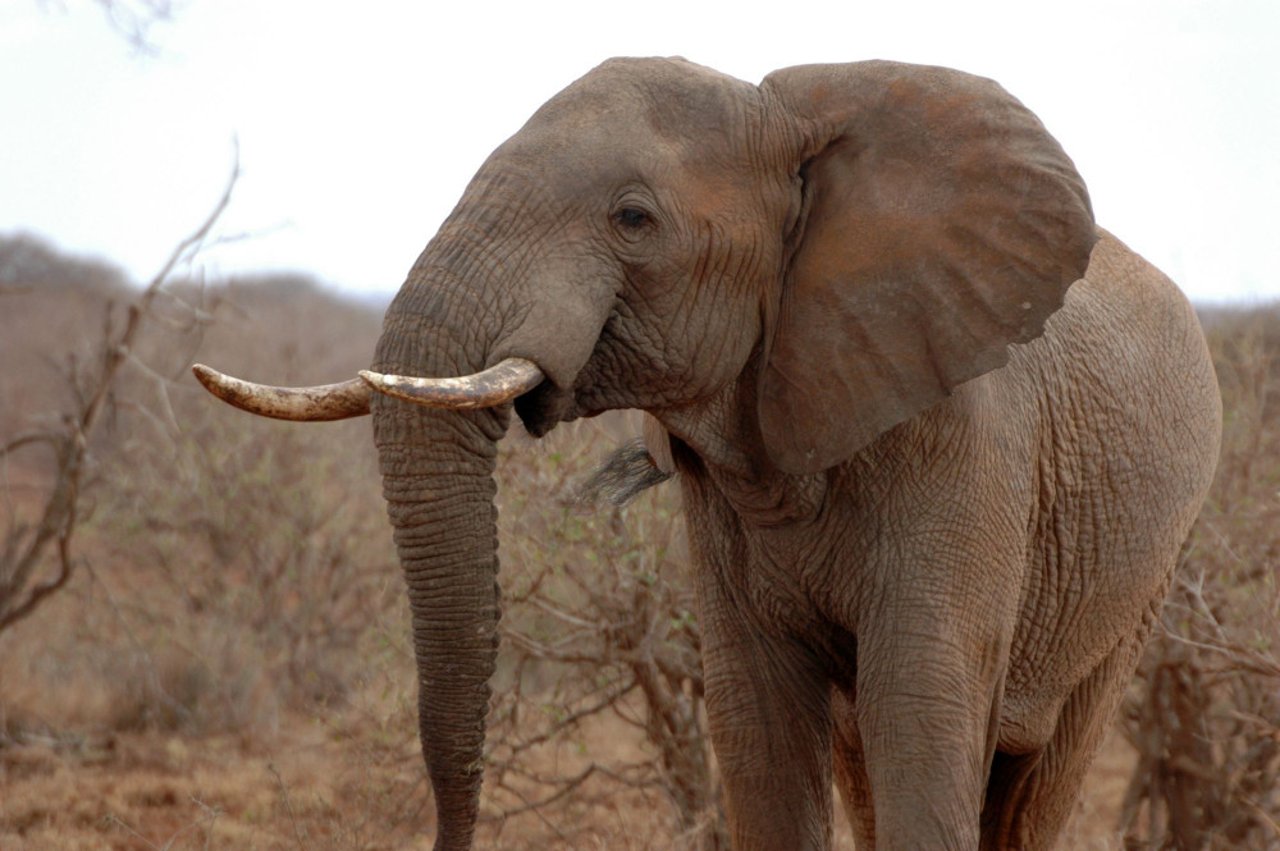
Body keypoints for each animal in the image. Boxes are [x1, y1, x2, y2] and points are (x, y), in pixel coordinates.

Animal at [194, 56, 1223, 844]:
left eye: (632, 219)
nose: (451, 838)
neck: (793, 121)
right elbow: (759, 729)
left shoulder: (965, 445)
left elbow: (921, 713)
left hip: (1145, 571)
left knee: (1037, 779)